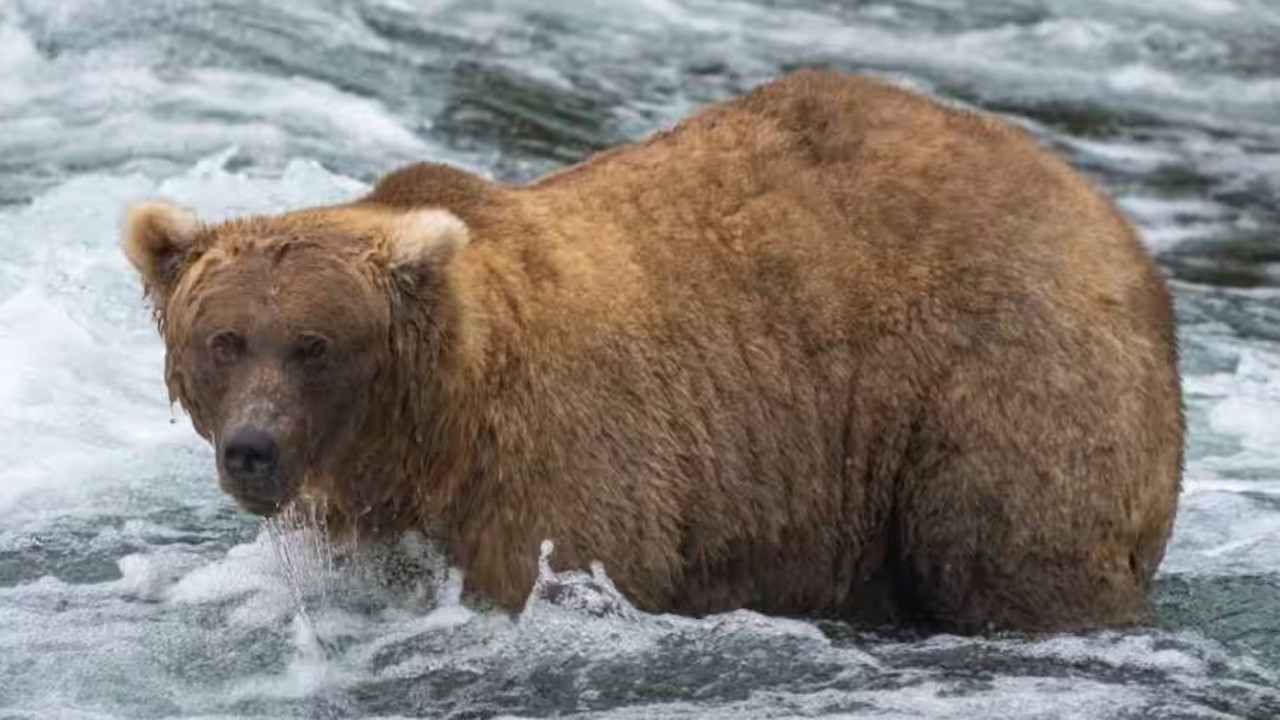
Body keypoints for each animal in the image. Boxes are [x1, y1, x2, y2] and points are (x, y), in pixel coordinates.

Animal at [120, 70, 1177, 630]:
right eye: (224, 340)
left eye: (315, 345)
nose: (253, 451)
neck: (433, 427)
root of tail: (1109, 217)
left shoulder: (560, 468)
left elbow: (563, 563)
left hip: (1003, 378)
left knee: (1012, 551)